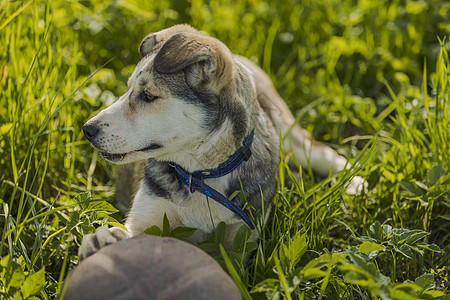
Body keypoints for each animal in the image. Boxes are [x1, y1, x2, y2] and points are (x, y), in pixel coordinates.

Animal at [79, 24, 364, 260]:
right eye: (127, 89)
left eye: (148, 96)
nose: (87, 129)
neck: (201, 175)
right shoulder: (149, 213)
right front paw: (104, 240)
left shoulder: (242, 236)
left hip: (289, 132)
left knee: (321, 152)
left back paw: (355, 182)